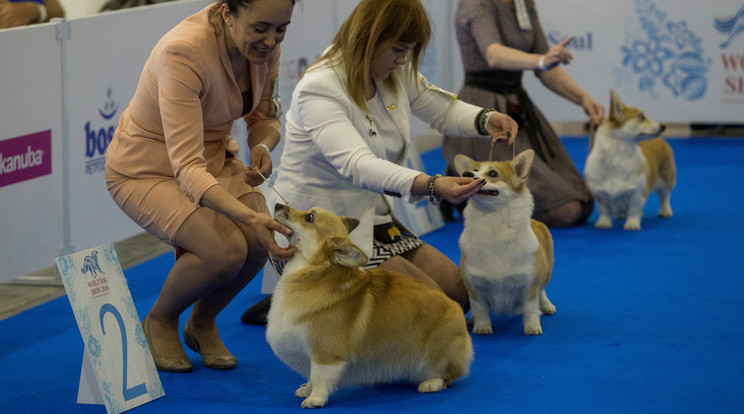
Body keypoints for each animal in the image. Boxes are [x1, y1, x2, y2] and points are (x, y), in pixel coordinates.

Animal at [264, 203, 470, 408]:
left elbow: (319, 378)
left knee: (445, 374)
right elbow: (310, 376)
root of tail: (456, 308)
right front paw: (306, 390)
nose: (277, 205)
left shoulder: (326, 354)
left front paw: (315, 399)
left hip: (434, 352)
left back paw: (430, 383)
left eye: (309, 218)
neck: (315, 270)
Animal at [450, 150, 556, 334]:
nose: (467, 174)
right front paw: (482, 327)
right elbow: (481, 309)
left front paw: (532, 327)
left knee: (542, 290)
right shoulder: (475, 287)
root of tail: (536, 221)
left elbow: (530, 308)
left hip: (546, 273)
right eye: (475, 170)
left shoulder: (529, 284)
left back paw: (547, 306)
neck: (493, 218)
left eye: (493, 173)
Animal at [584, 90, 676, 230]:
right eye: (641, 116)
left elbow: (634, 210)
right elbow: (604, 209)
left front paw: (632, 224)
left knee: (665, 196)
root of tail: (661, 140)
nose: (663, 126)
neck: (618, 155)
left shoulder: (638, 193)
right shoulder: (600, 193)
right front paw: (604, 223)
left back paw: (665, 211)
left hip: (665, 179)